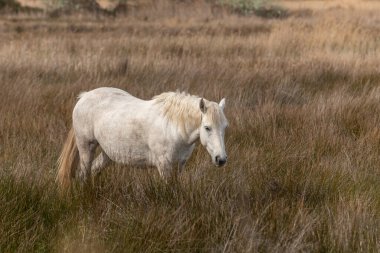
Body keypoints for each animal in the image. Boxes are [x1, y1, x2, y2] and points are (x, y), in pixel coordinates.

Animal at [57, 87, 229, 188]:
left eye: (225, 127)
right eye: (207, 127)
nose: (221, 159)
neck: (174, 128)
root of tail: (84, 96)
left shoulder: (179, 165)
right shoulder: (164, 166)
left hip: (108, 154)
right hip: (86, 147)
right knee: (84, 173)